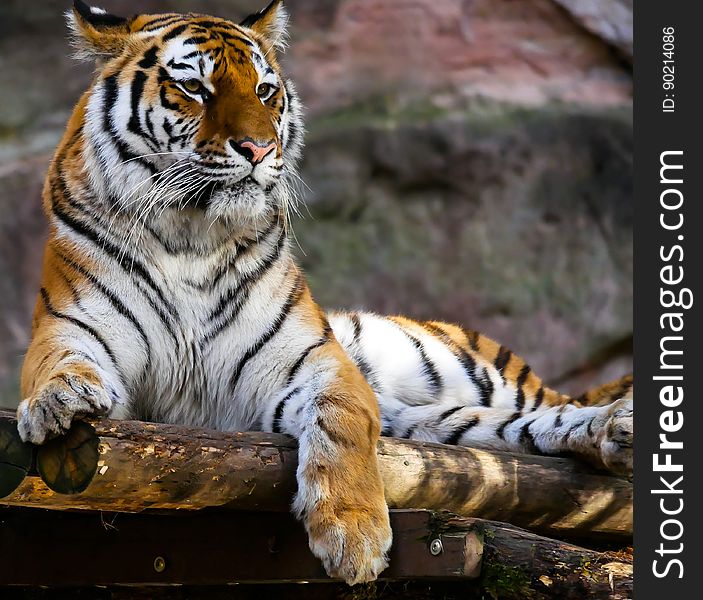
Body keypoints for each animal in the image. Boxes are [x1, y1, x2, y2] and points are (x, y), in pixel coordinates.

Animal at [17, 0, 632, 584]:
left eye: (265, 91)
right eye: (194, 88)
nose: (258, 149)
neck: (190, 236)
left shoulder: (316, 360)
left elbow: (341, 423)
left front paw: (353, 536)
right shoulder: (70, 328)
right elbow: (59, 364)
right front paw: (57, 401)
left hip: (466, 372)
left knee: (557, 406)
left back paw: (616, 423)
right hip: (448, 424)